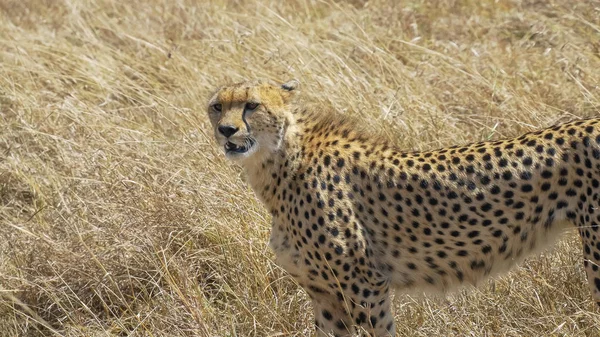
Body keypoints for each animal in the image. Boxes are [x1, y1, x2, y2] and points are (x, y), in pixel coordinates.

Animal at [206, 79, 600, 336]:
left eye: (252, 105)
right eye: (217, 106)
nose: (226, 130)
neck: (281, 160)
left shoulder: (364, 285)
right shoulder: (325, 294)